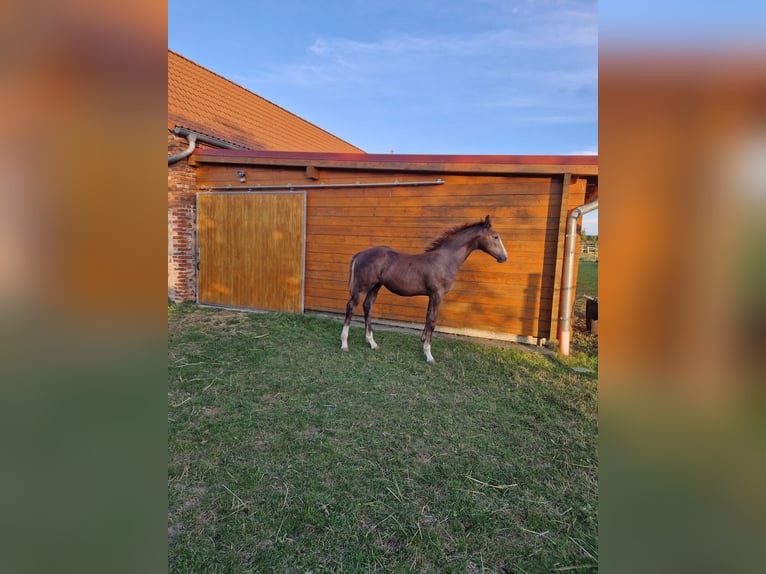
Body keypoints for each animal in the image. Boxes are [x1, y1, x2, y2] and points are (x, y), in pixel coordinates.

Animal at [342, 214, 510, 366]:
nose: (504, 257)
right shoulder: (437, 294)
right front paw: (429, 355)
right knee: (351, 306)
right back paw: (344, 344)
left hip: (375, 286)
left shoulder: (432, 295)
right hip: (363, 287)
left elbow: (428, 317)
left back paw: (372, 343)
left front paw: (423, 343)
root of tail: (360, 254)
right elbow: (432, 320)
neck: (445, 260)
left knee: (368, 307)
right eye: (495, 237)